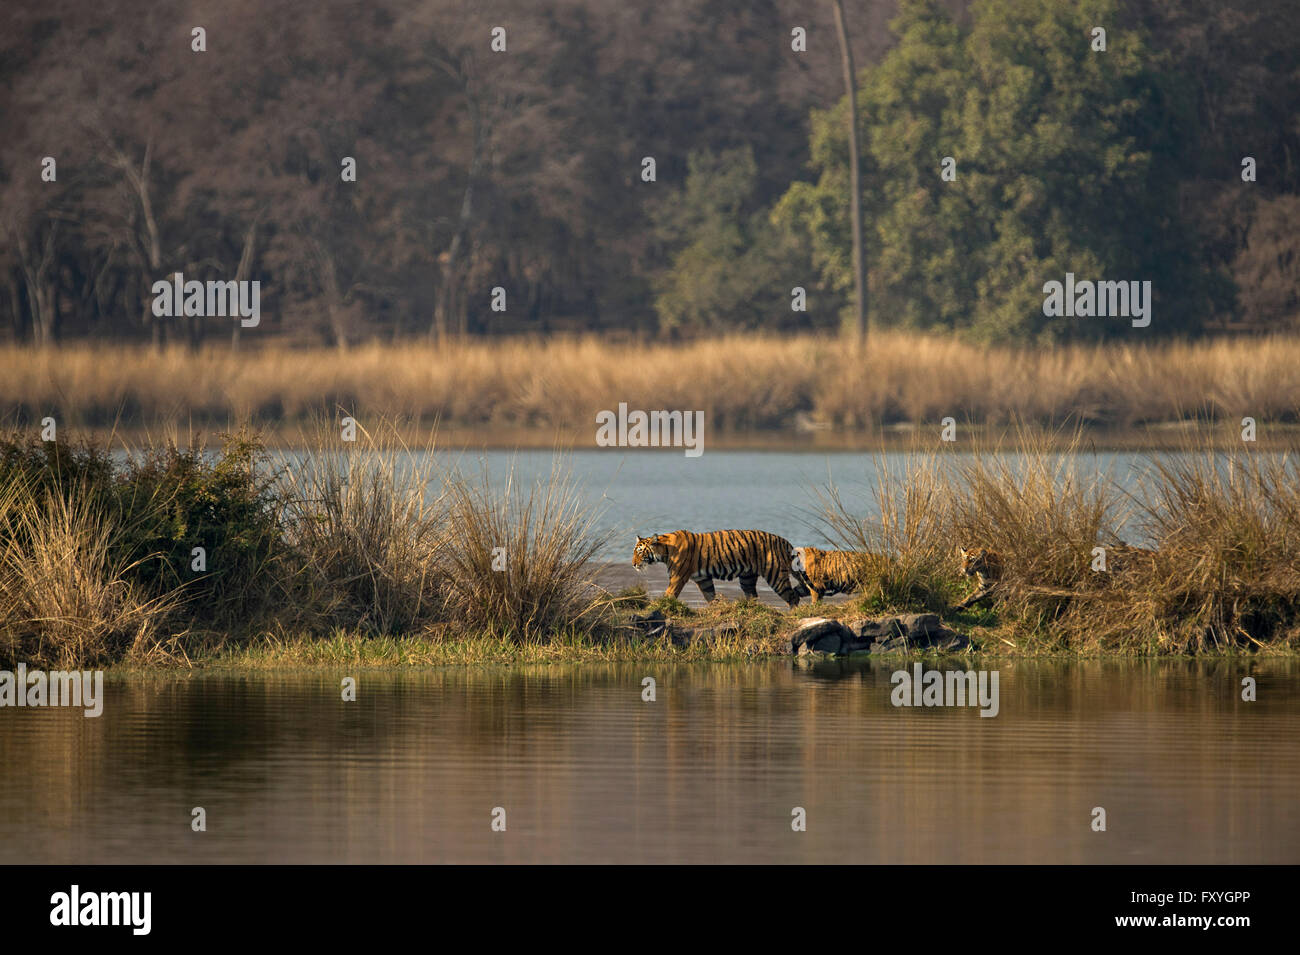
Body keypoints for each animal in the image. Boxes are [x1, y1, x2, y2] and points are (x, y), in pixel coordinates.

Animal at [632, 529, 802, 608]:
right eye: (634, 551)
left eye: (640, 552)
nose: (633, 564)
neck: (665, 550)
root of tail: (785, 541)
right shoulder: (703, 579)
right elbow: (710, 595)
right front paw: (717, 606)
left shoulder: (677, 577)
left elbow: (669, 594)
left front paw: (656, 606)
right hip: (747, 578)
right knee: (753, 596)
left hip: (775, 575)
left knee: (793, 597)